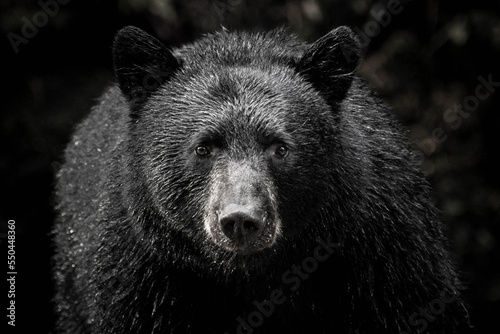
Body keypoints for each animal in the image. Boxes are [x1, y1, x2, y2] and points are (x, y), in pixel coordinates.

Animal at [51, 26, 468, 334]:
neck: (253, 275)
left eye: (279, 147)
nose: (241, 219)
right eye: (203, 148)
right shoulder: (139, 275)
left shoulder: (385, 255)